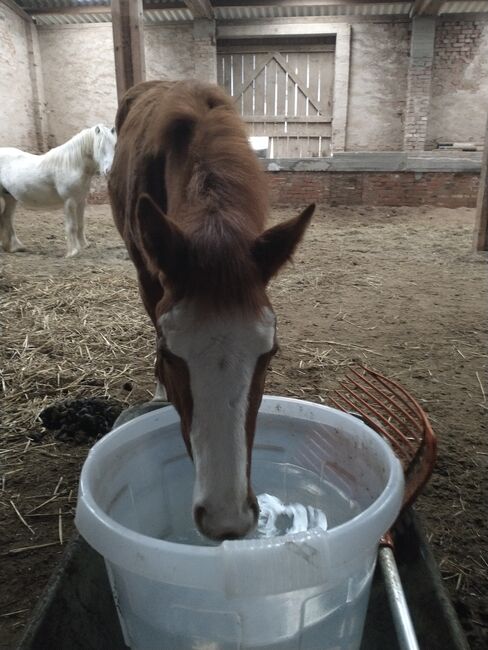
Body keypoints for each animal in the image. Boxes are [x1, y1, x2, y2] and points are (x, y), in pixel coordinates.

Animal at [0, 125, 116, 256]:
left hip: (10, 197)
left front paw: (84, 245)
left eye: (114, 146)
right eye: (100, 147)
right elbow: (72, 226)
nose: (109, 171)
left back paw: (14, 247)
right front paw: (73, 251)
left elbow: (81, 224)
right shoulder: (70, 201)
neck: (72, 165)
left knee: (7, 218)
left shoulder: (81, 201)